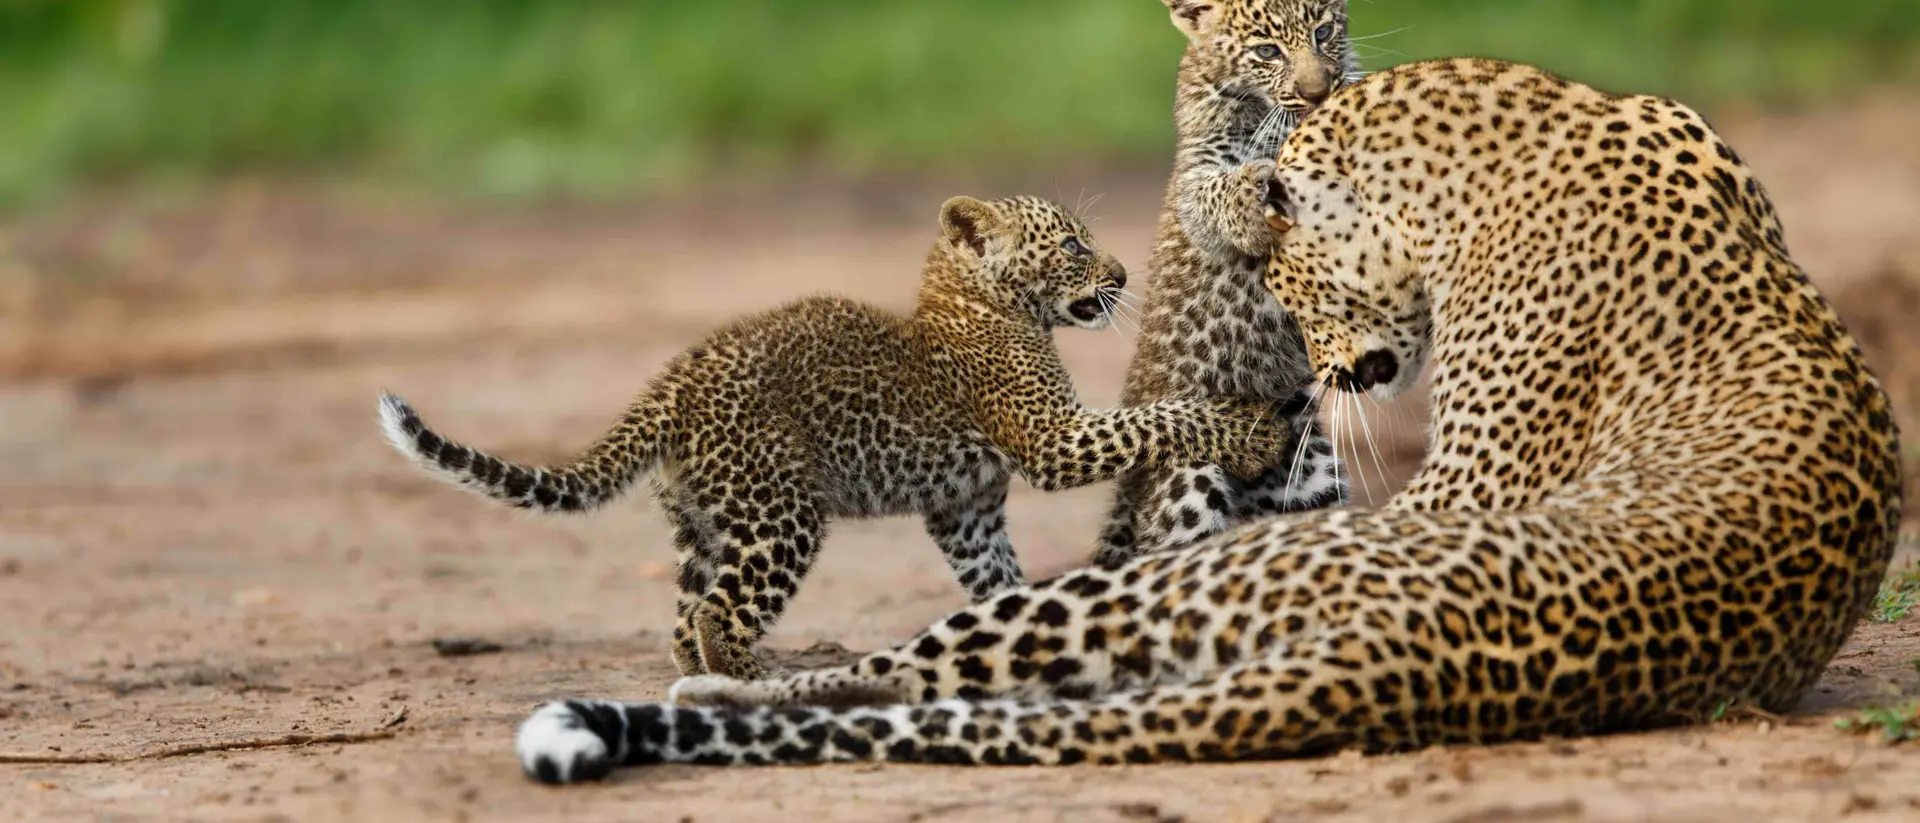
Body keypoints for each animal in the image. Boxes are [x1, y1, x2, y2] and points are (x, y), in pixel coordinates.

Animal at [377, 194, 1292, 683]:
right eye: (1070, 242)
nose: (1122, 274)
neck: (982, 303)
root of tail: (672, 380)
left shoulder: (966, 507)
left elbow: (994, 578)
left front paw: (1018, 636)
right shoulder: (1052, 439)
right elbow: (1161, 417)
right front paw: (1246, 429)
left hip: (703, 520)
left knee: (684, 615)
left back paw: (703, 684)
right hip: (779, 511)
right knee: (719, 613)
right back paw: (754, 682)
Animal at [511, 59, 1902, 782]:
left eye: (1294, 280)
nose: (1318, 372)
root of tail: (1390, 657)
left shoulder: (1465, 473)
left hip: (1145, 597)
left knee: (895, 669)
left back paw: (701, 685)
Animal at [1095, 0, 1365, 568]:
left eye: (1323, 32)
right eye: (1267, 51)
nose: (1317, 90)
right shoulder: (1199, 176)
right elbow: (1219, 190)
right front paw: (1257, 192)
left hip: (1308, 477)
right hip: (1185, 479)